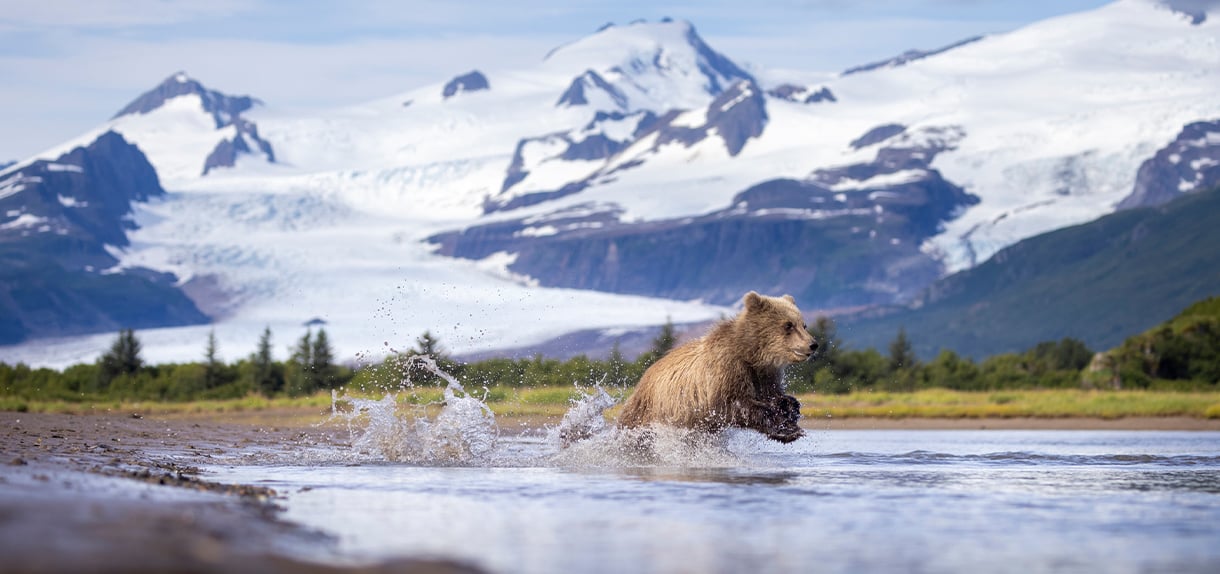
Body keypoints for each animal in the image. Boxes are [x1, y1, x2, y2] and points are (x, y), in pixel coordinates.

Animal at [618, 291, 817, 443]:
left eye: (804, 324)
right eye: (788, 325)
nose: (813, 344)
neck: (751, 356)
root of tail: (642, 380)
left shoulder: (766, 375)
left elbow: (776, 396)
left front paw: (790, 410)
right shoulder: (725, 373)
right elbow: (736, 406)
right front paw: (787, 430)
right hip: (646, 413)